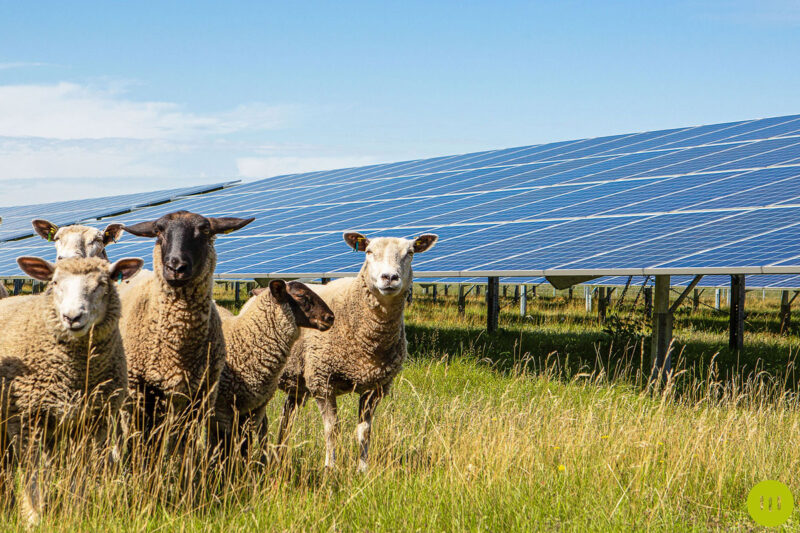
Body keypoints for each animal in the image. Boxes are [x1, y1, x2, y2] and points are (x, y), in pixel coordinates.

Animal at [0, 255, 143, 525]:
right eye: (55, 282)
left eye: (102, 283)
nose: (72, 317)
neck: (74, 374)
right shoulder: (26, 419)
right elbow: (34, 472)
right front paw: (35, 518)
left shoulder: (93, 422)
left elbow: (81, 471)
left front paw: (76, 512)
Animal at [211, 280, 334, 453]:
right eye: (301, 296)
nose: (330, 317)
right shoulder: (221, 409)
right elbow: (223, 445)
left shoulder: (254, 409)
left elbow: (245, 445)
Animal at [277, 231, 438, 471]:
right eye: (368, 251)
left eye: (410, 253)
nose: (389, 278)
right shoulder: (322, 380)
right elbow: (332, 428)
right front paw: (331, 467)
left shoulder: (375, 387)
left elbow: (364, 431)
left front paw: (362, 468)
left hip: (297, 383)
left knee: (287, 418)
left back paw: (279, 452)